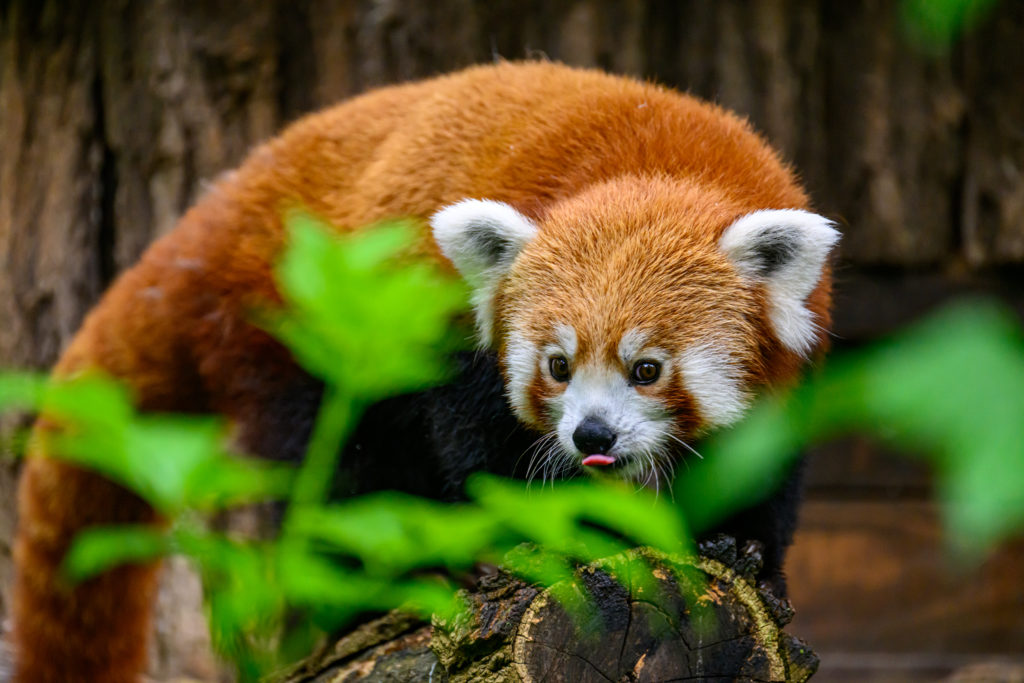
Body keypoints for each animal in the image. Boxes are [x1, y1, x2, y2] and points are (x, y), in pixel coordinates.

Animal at [12, 61, 835, 679]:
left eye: (647, 369)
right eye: (558, 365)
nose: (591, 436)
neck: (657, 165)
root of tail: (227, 205)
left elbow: (763, 468)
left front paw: (742, 548)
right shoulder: (443, 327)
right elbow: (475, 443)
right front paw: (538, 538)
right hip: (298, 339)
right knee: (333, 477)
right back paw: (380, 592)